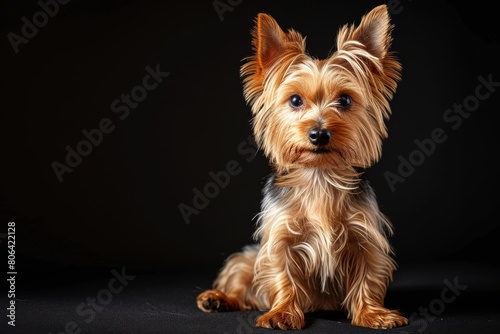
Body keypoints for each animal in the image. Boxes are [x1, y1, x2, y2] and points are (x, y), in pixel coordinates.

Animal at [195, 4, 406, 328]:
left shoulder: (365, 237)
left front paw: (373, 313)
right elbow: (281, 272)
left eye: (345, 100)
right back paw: (218, 299)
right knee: (242, 281)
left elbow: (368, 276)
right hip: (247, 258)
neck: (319, 174)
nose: (319, 133)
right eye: (295, 100)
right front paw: (282, 312)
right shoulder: (280, 236)